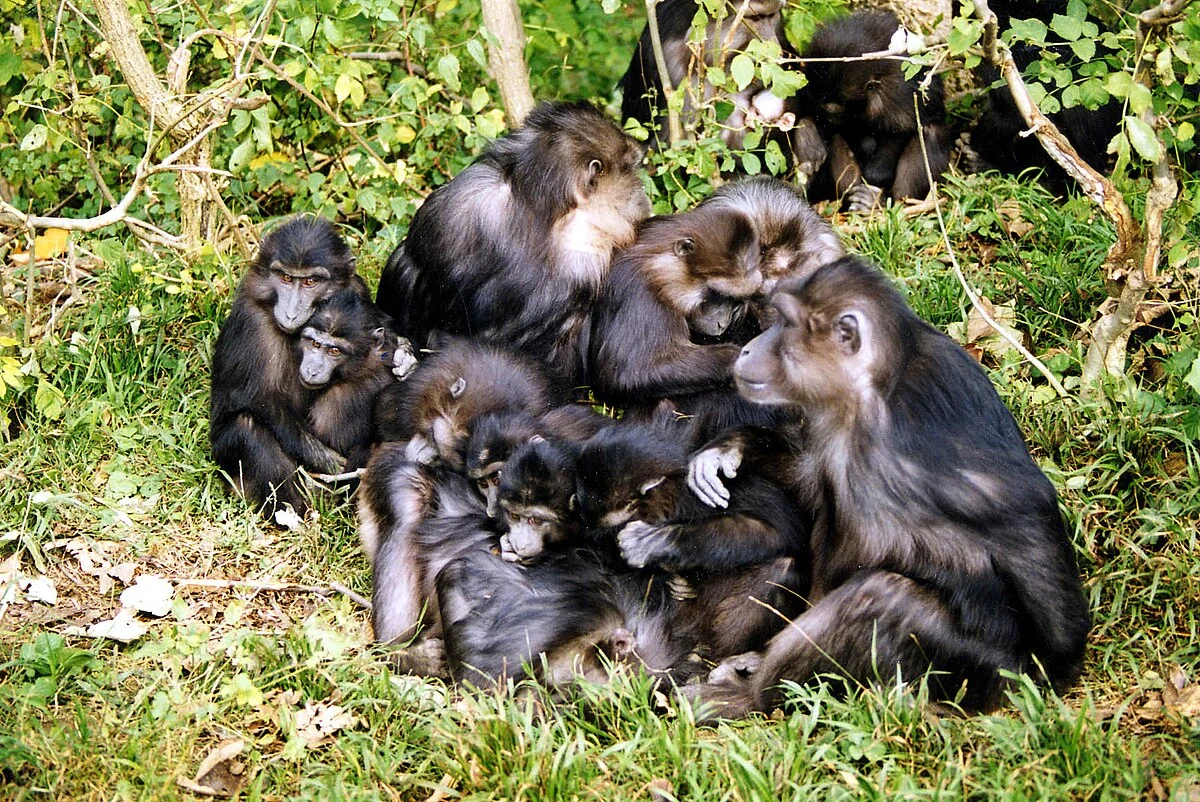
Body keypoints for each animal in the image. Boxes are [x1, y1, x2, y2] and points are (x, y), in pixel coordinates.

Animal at [209, 215, 363, 516]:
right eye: (286, 278)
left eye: (311, 281)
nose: (291, 312)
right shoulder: (252, 321)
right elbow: (259, 399)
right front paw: (327, 460)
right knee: (248, 429)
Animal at [685, 256, 1091, 719]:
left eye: (786, 323)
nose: (750, 348)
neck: (872, 384)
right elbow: (810, 479)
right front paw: (729, 450)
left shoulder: (901, 435)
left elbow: (1022, 511)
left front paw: (1056, 663)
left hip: (970, 672)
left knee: (881, 596)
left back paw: (752, 695)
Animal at [794, 10, 953, 211]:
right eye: (821, 103)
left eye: (836, 107)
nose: (828, 114)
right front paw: (807, 136)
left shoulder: (899, 95)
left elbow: (901, 132)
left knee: (931, 131)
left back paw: (884, 203)